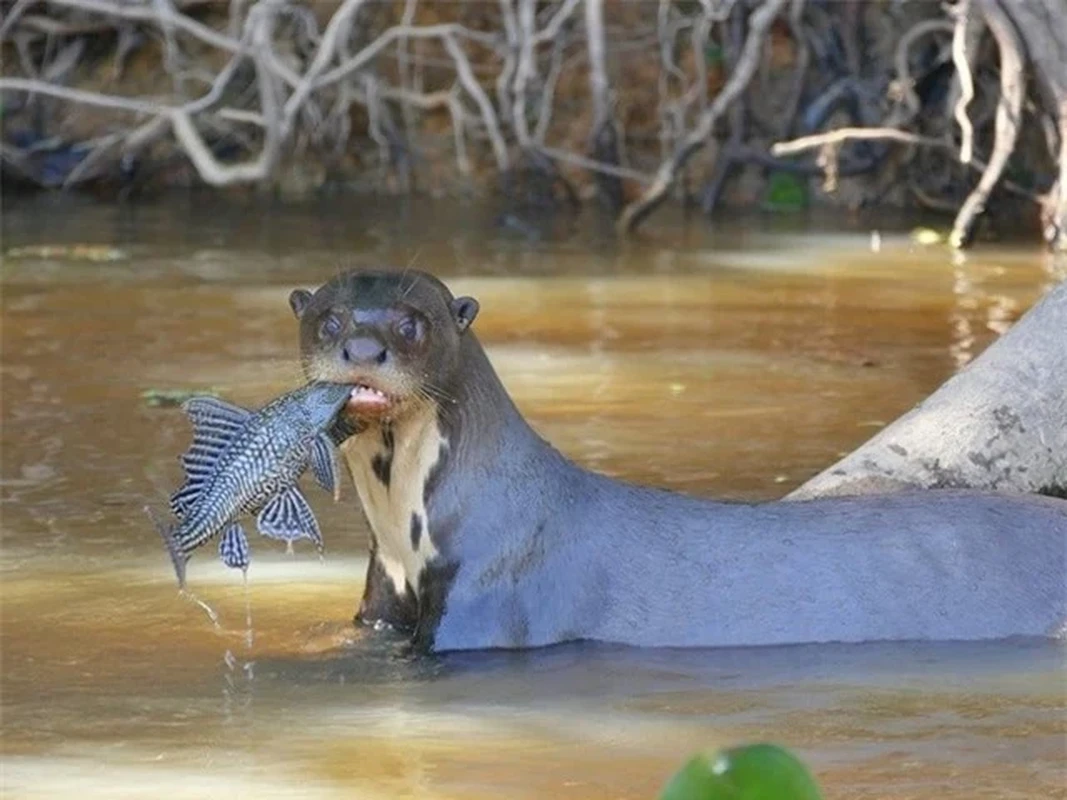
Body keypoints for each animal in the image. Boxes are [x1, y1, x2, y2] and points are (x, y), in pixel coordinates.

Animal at [288, 269, 1062, 657]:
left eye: (410, 322)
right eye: (327, 319)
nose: (363, 349)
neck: (415, 528)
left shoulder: (484, 607)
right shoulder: (383, 600)